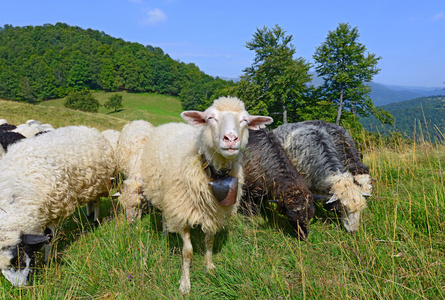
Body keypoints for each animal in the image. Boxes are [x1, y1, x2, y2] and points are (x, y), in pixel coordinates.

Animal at [0, 126, 116, 286]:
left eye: (19, 254)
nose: (22, 287)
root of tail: (87, 128)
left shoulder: (53, 211)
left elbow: (49, 238)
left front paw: (48, 261)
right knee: (89, 201)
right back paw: (89, 214)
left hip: (99, 182)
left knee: (96, 202)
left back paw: (95, 221)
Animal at [140, 97, 272, 294]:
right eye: (210, 118)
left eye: (245, 120)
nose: (231, 139)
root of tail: (171, 123)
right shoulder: (182, 211)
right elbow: (187, 252)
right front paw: (185, 283)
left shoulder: (213, 213)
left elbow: (209, 242)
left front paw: (209, 267)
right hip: (165, 194)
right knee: (164, 213)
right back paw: (164, 232)